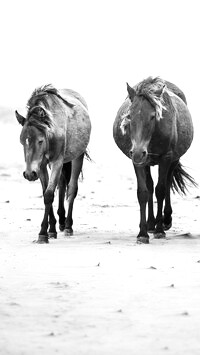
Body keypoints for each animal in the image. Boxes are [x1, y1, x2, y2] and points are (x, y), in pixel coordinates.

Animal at [15, 85, 91, 243]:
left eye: (40, 141)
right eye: (22, 141)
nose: (29, 174)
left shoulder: (56, 162)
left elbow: (49, 195)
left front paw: (43, 233)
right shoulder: (41, 166)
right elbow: (46, 192)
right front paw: (51, 229)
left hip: (77, 156)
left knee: (72, 189)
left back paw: (68, 226)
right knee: (62, 183)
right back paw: (61, 221)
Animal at [113, 77, 196, 245]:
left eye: (152, 116)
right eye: (129, 116)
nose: (139, 152)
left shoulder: (166, 158)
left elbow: (161, 190)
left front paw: (159, 230)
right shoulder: (137, 161)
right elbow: (143, 192)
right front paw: (142, 233)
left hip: (173, 160)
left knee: (167, 182)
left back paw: (165, 221)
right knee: (150, 186)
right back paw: (150, 224)